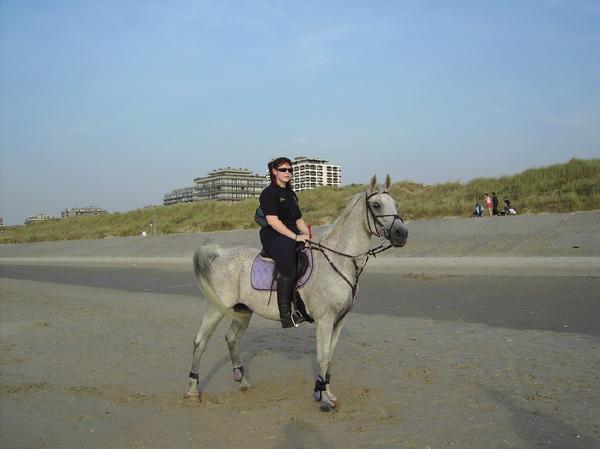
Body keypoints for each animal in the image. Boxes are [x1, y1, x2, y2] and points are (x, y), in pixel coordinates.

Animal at [185, 175, 408, 411]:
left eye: (396, 204)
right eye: (376, 205)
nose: (401, 234)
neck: (338, 260)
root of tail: (219, 254)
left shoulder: (339, 321)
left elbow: (330, 357)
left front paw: (326, 393)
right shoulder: (324, 319)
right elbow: (322, 357)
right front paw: (324, 399)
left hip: (243, 311)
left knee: (232, 340)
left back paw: (243, 382)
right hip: (215, 309)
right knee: (200, 341)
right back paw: (192, 390)